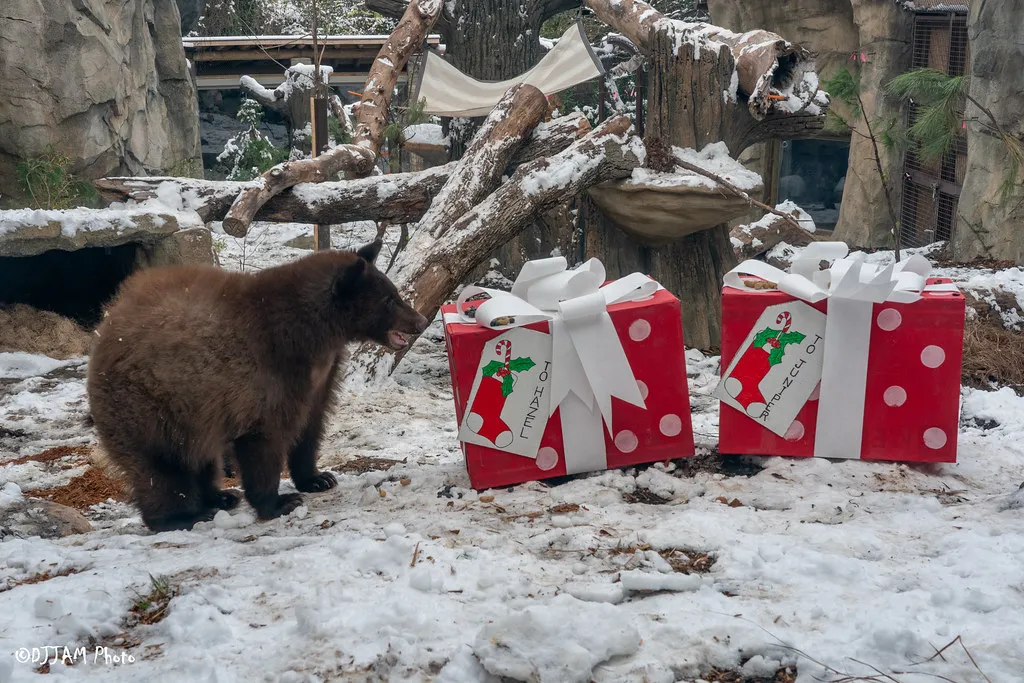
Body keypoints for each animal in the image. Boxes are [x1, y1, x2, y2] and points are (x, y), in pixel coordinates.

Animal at [86, 240, 428, 532]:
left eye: (394, 292)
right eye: (389, 299)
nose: (420, 321)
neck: (316, 337)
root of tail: (106, 327)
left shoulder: (320, 378)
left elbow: (311, 426)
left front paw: (317, 478)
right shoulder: (267, 374)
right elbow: (266, 438)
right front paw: (278, 502)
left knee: (198, 459)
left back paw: (220, 497)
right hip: (149, 406)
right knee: (161, 468)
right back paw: (182, 516)